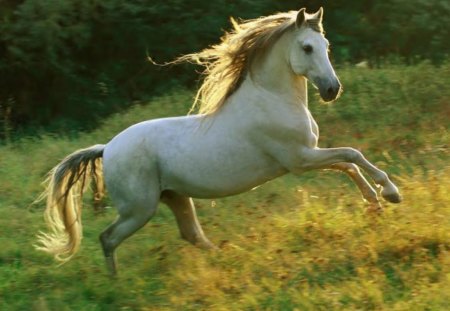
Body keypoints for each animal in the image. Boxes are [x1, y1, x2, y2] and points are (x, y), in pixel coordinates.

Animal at [36, 7, 400, 276]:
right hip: (139, 209)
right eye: (306, 48)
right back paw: (117, 283)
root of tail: (107, 148)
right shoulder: (300, 159)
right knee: (108, 238)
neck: (272, 99)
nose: (331, 90)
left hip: (174, 197)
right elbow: (352, 155)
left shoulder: (307, 156)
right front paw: (390, 193)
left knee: (191, 234)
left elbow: (348, 164)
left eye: (326, 47)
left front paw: (375, 202)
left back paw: (231, 257)